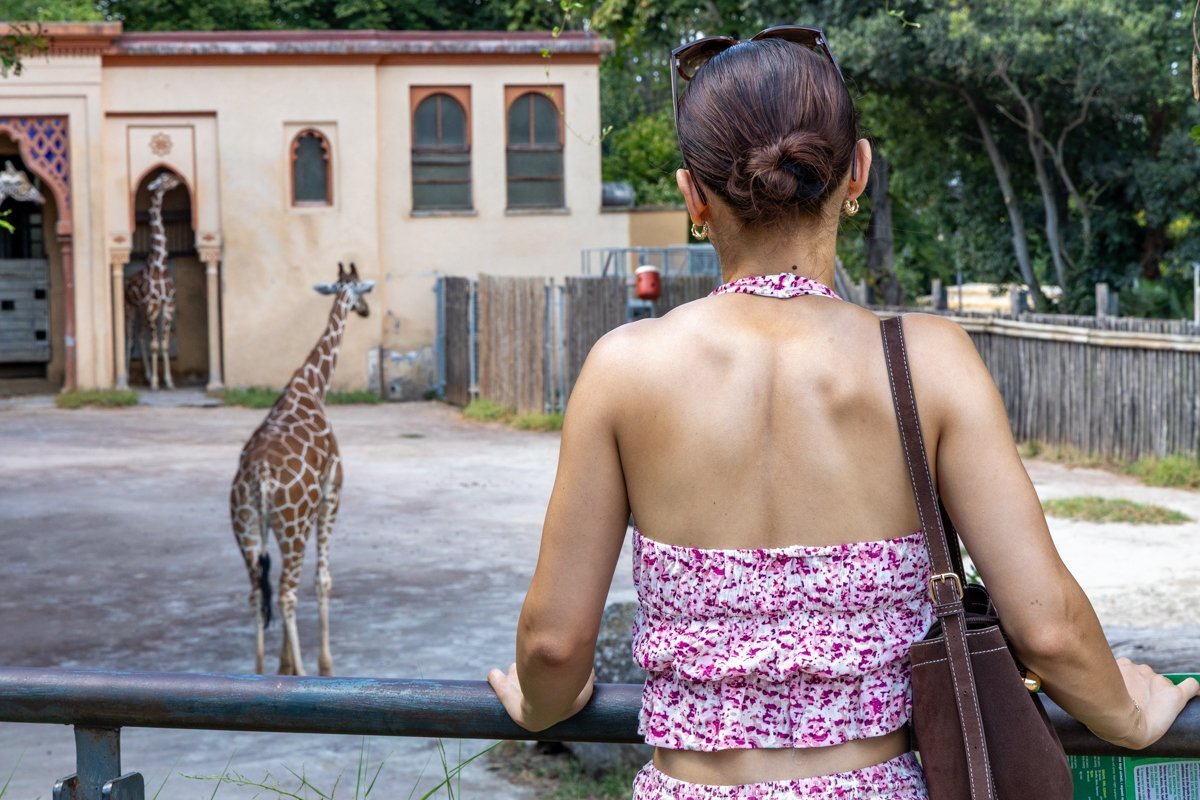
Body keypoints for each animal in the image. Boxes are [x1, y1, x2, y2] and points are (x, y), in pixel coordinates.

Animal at [125, 171, 181, 390]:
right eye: (164, 178)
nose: (178, 178)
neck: (160, 267)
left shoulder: (168, 305)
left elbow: (163, 344)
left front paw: (169, 381)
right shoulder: (153, 306)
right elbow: (155, 345)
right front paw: (157, 383)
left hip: (142, 310)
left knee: (141, 337)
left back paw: (148, 375)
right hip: (132, 308)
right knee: (131, 339)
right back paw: (128, 376)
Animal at [229, 262, 374, 676]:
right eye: (362, 289)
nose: (365, 312)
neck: (312, 385)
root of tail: (260, 478)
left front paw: (283, 665)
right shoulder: (330, 494)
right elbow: (322, 580)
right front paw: (322, 665)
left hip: (247, 527)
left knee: (256, 592)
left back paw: (260, 673)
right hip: (289, 524)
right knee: (285, 594)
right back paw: (304, 676)